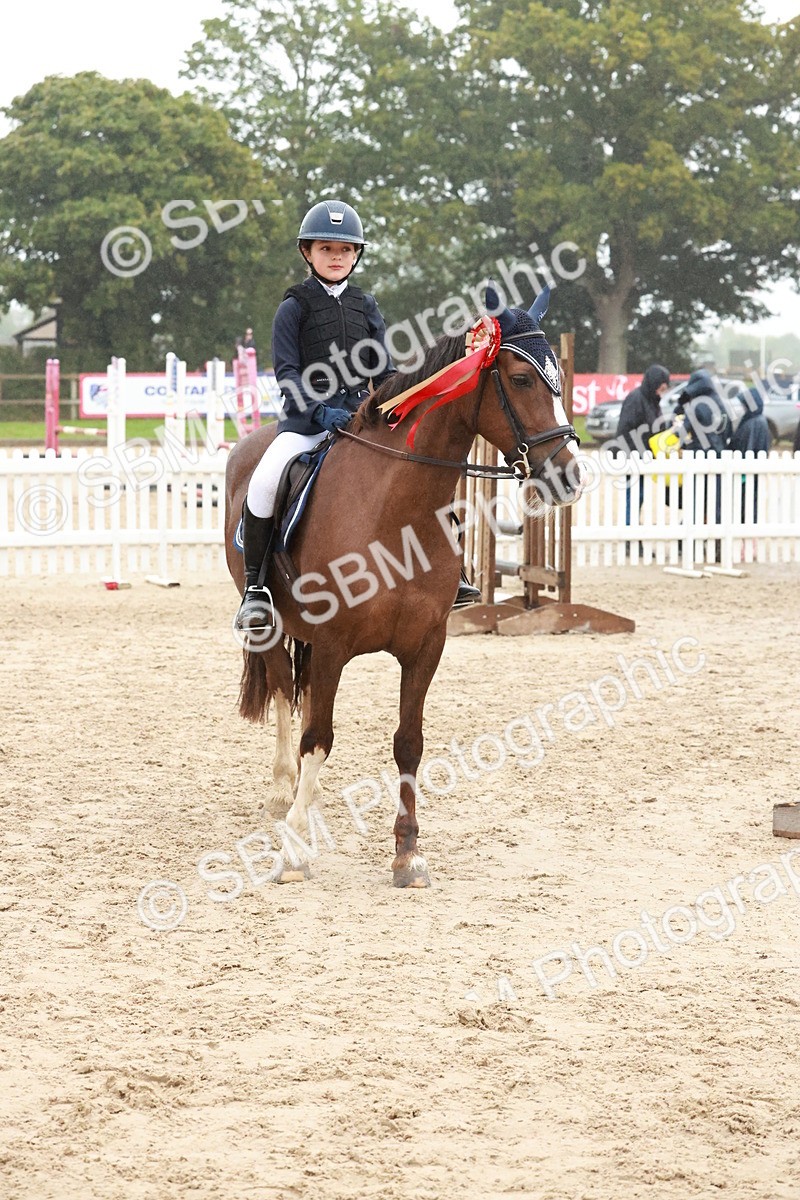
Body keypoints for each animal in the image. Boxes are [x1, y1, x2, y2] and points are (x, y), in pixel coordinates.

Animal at [224, 285, 584, 887]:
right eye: (521, 379)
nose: (569, 476)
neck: (395, 511)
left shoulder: (425, 645)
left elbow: (408, 743)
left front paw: (407, 853)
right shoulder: (333, 645)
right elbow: (317, 736)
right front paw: (294, 850)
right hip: (270, 626)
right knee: (282, 694)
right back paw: (283, 792)